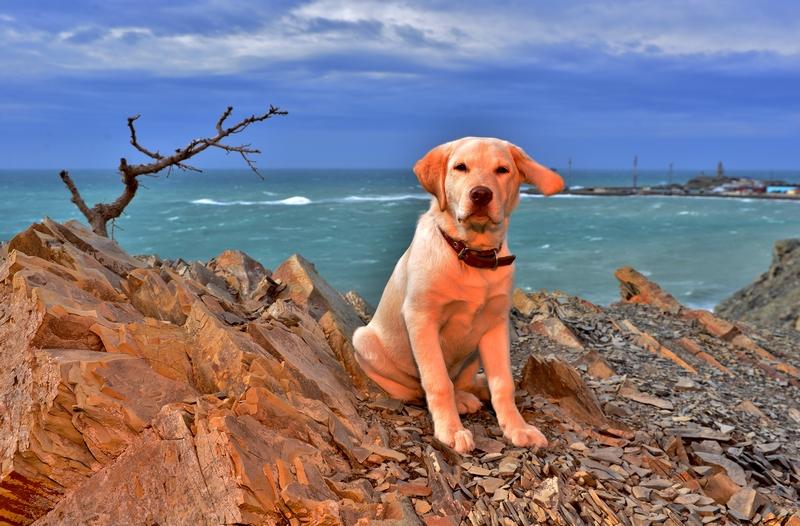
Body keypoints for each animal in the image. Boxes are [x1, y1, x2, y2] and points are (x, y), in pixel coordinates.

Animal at [350, 138, 564, 456]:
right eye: (460, 167)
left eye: (502, 170)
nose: (481, 194)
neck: (471, 254)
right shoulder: (421, 319)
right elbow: (437, 381)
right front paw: (450, 430)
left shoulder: (496, 324)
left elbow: (503, 383)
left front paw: (518, 428)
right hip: (364, 340)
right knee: (418, 385)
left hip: (473, 351)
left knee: (462, 380)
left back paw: (469, 393)